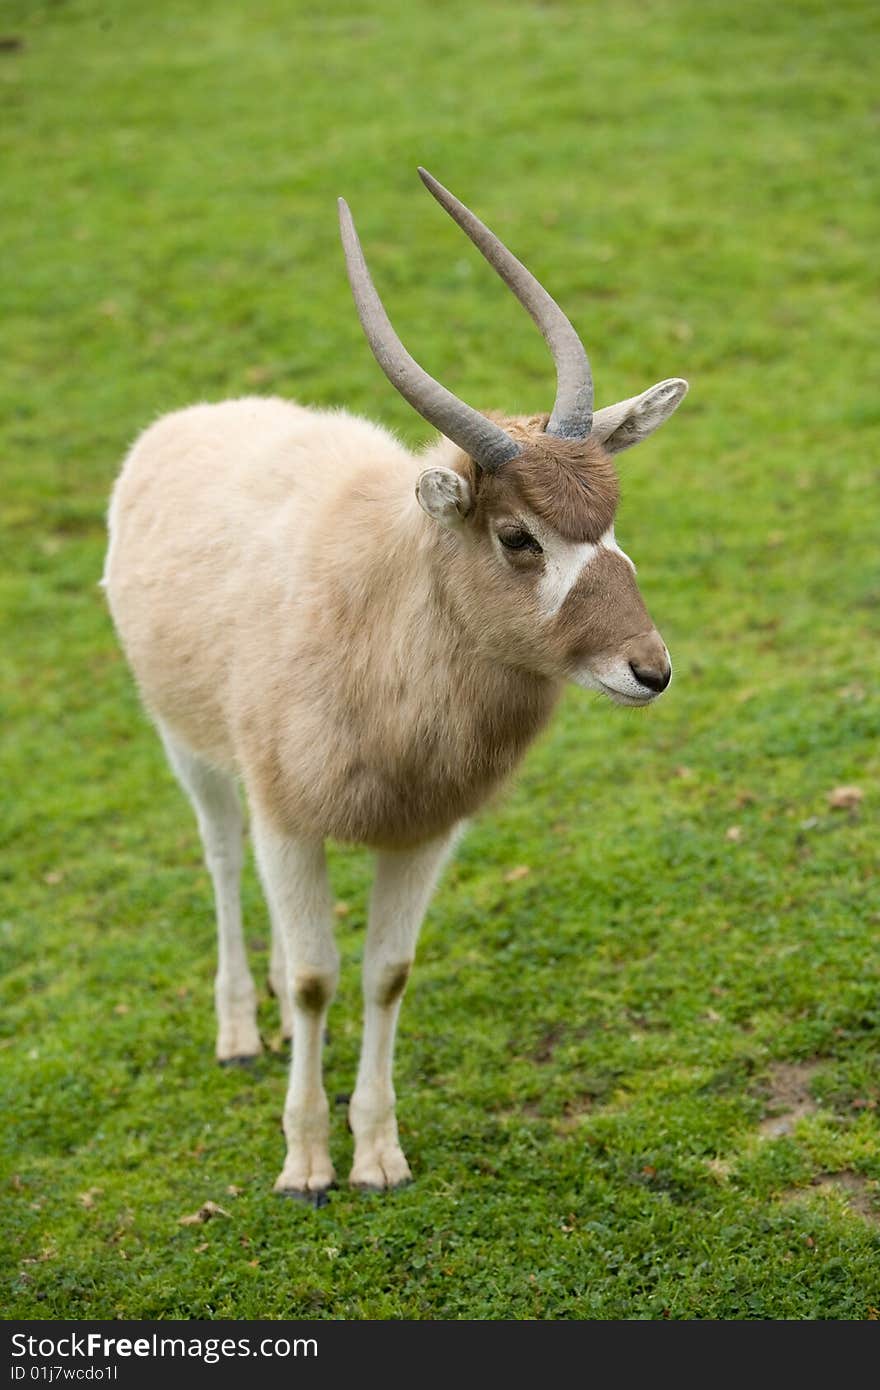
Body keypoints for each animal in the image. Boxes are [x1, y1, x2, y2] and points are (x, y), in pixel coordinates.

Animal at [104, 168, 686, 1200]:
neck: (383, 616)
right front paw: (305, 1163)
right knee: (221, 858)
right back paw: (240, 1029)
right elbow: (314, 979)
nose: (649, 671)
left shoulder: (422, 832)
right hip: (192, 749)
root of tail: (188, 421)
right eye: (518, 536)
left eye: (611, 522)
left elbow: (385, 973)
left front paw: (378, 1155)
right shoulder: (288, 820)